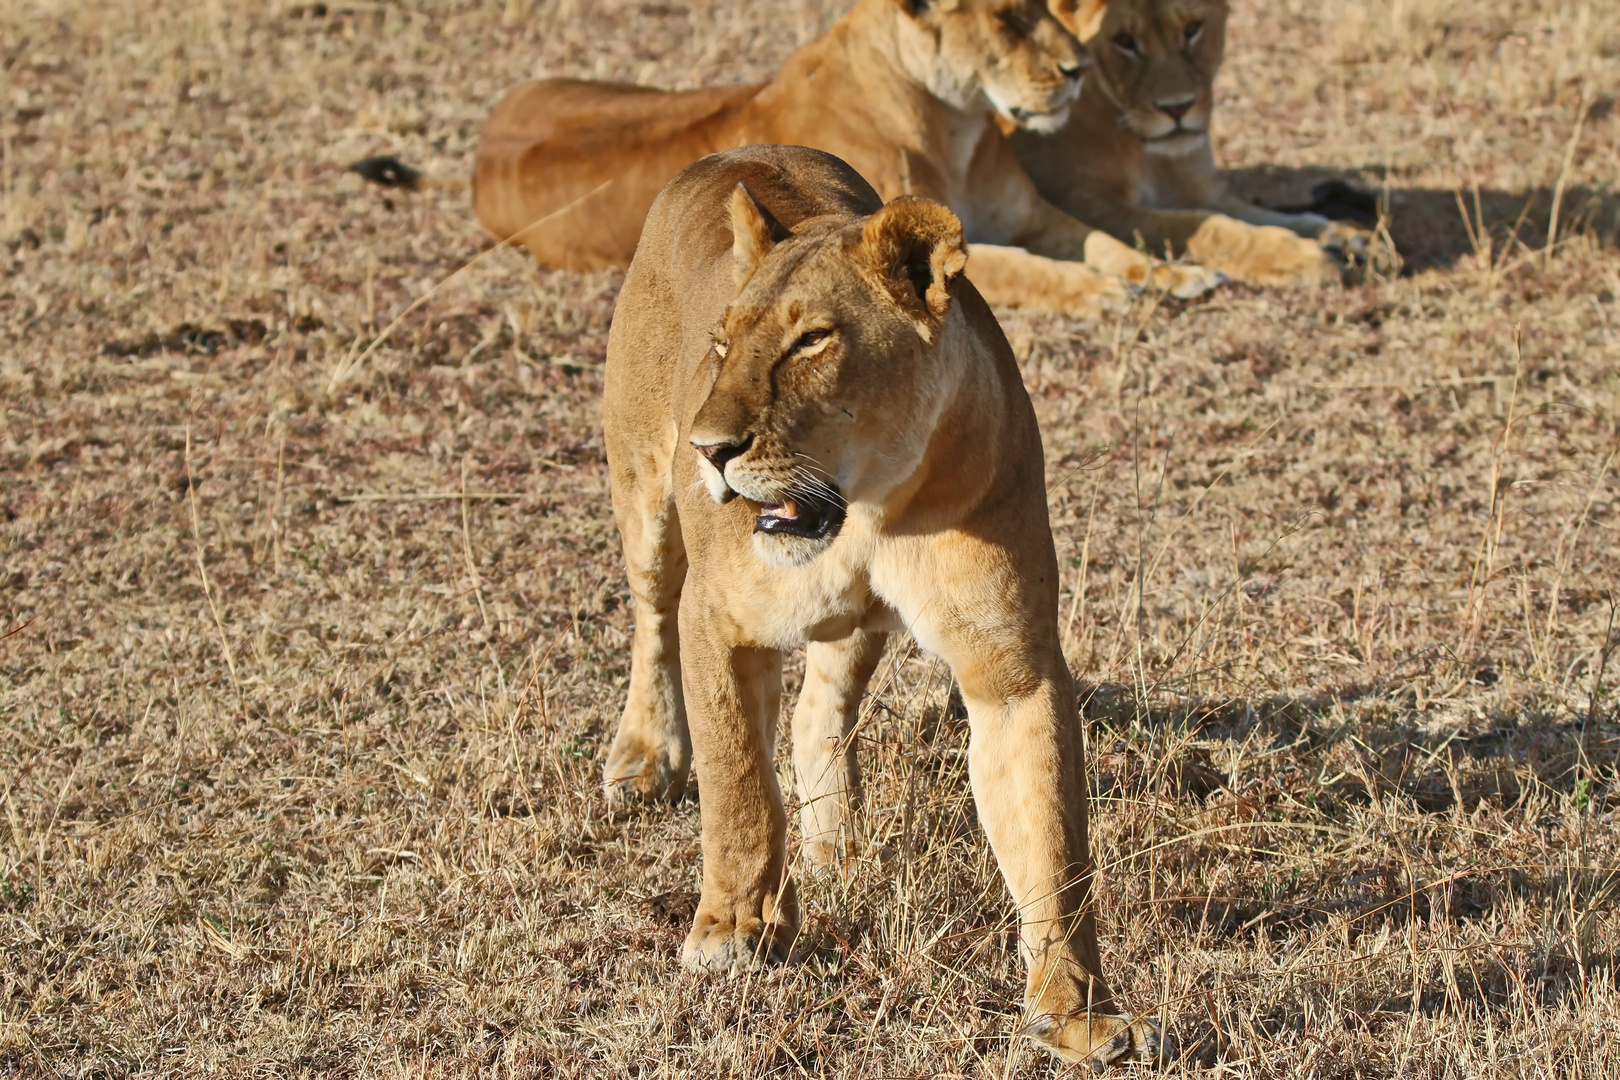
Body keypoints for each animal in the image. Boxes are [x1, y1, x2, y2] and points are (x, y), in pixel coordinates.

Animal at [354, 0, 1218, 317]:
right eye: (1007, 18)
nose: (1079, 69)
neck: (958, 125)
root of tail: (476, 157)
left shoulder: (1036, 215)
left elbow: (1108, 240)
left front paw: (1177, 274)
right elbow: (1046, 271)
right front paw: (1109, 295)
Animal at [605, 139, 1153, 1068]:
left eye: (811, 341)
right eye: (722, 345)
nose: (710, 450)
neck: (869, 508)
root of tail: (733, 150)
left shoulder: (1013, 670)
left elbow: (1051, 840)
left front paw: (1076, 1011)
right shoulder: (716, 622)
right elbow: (738, 785)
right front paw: (733, 931)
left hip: (856, 623)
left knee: (820, 704)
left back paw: (835, 841)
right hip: (644, 497)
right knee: (649, 622)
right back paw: (645, 759)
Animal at [1004, 0, 1373, 284]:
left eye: (1193, 29)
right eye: (1124, 40)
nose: (1177, 107)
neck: (1148, 153)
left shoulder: (1202, 188)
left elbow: (1263, 215)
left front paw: (1342, 233)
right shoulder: (1084, 203)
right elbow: (1206, 225)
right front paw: (1303, 258)